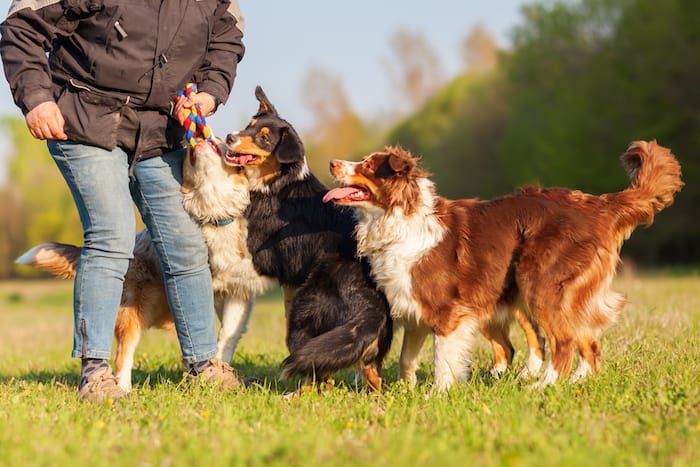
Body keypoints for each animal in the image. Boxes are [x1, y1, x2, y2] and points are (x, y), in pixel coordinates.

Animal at [221, 86, 392, 390]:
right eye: (249, 126)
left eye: (264, 138)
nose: (230, 137)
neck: (276, 182)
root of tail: (372, 307)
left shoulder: (265, 258)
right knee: (365, 375)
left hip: (302, 315)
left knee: (317, 376)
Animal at [324, 141, 684, 390]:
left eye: (368, 165)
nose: (331, 162)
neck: (400, 219)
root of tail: (598, 205)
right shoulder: (413, 310)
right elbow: (406, 359)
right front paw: (406, 391)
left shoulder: (446, 311)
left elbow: (442, 359)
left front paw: (437, 394)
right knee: (587, 345)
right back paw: (574, 383)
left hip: (540, 284)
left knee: (564, 342)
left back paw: (542, 386)